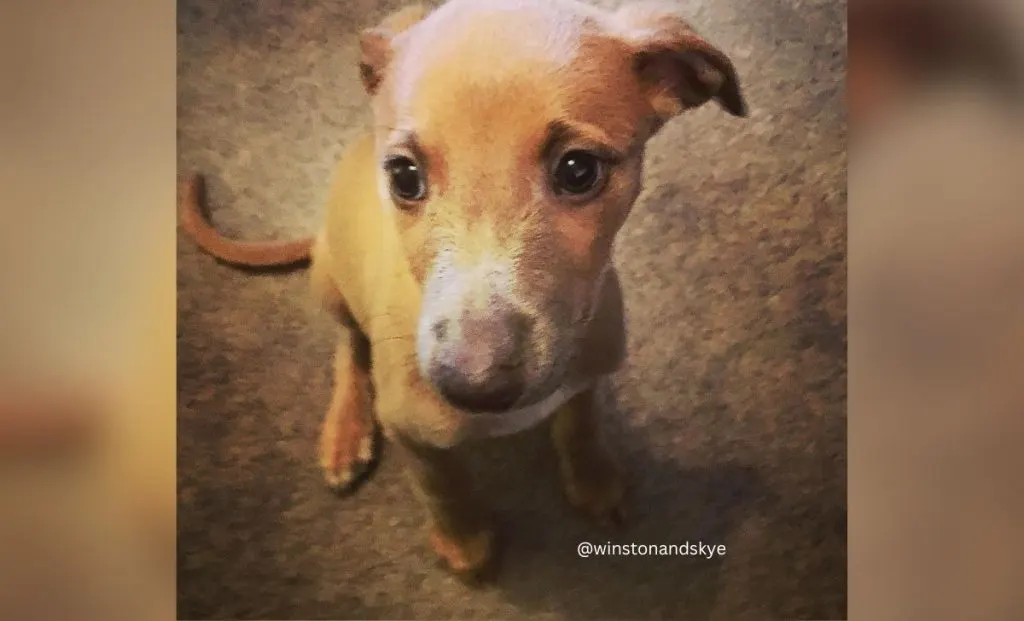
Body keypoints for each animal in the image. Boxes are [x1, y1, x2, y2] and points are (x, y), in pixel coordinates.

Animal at [182, 0, 745, 582]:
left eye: (578, 169)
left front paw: (593, 481)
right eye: (404, 176)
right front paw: (464, 541)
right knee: (348, 346)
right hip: (330, 282)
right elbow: (442, 484)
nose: (474, 386)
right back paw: (345, 431)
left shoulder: (589, 373)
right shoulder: (411, 430)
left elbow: (581, 425)